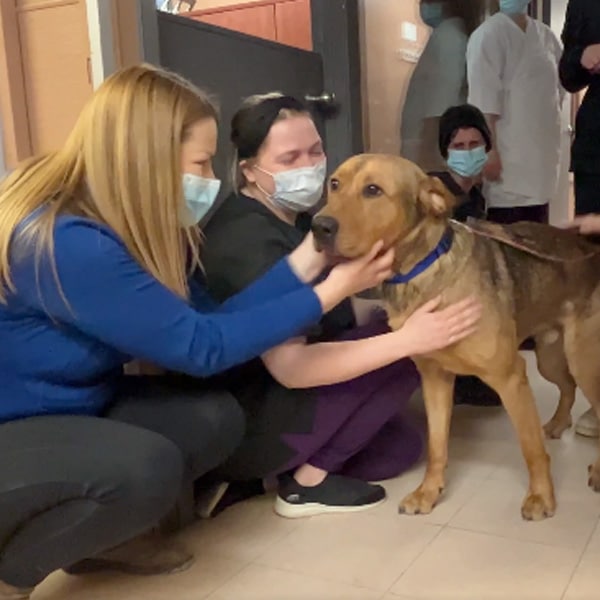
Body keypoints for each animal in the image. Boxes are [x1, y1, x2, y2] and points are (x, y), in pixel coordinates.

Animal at [312, 154, 600, 520]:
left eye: (373, 190)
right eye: (334, 184)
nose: (318, 226)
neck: (420, 272)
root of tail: (588, 247)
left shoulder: (511, 377)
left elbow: (530, 447)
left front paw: (540, 497)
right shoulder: (434, 379)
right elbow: (437, 446)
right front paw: (428, 492)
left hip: (583, 359)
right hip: (550, 355)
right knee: (567, 387)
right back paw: (558, 423)